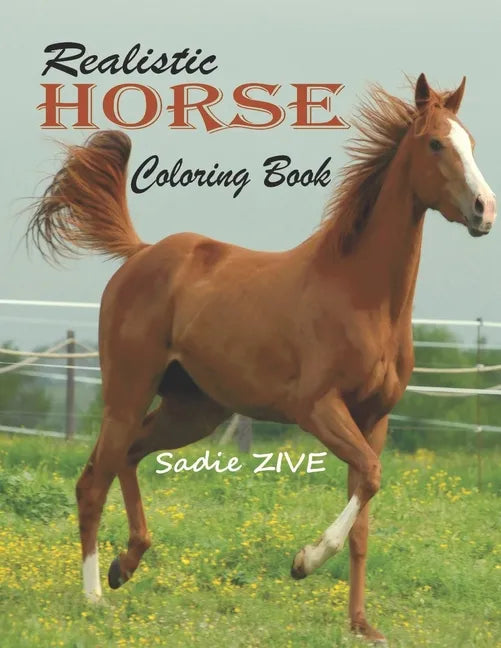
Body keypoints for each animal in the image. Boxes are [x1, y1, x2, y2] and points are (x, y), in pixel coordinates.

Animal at [28, 73, 496, 645]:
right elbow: (369, 477)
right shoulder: (316, 408)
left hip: (194, 410)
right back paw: (94, 595)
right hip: (127, 391)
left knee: (129, 456)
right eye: (435, 144)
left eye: (470, 142)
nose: (484, 209)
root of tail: (140, 254)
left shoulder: (374, 418)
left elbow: (364, 513)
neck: (361, 297)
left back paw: (126, 565)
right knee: (94, 481)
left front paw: (362, 624)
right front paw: (303, 562)